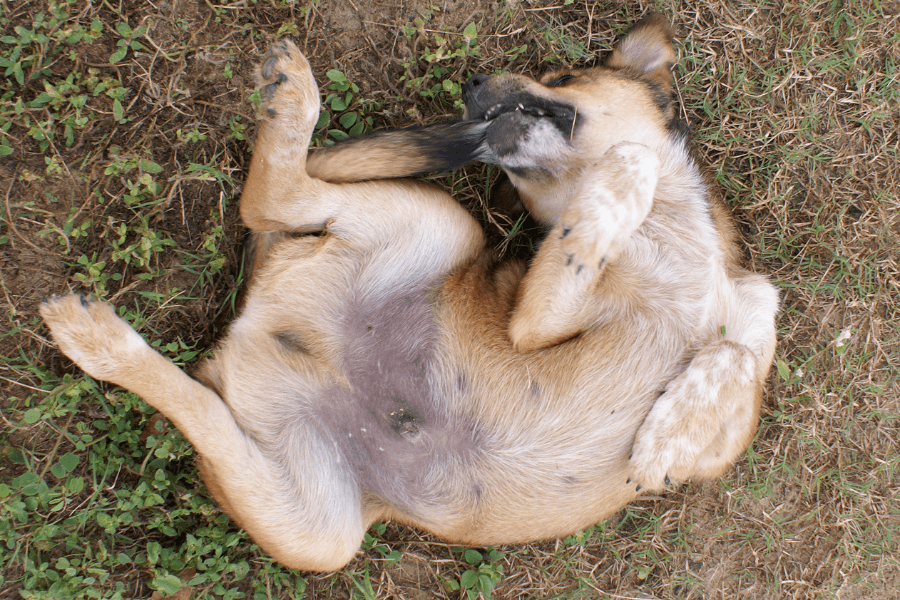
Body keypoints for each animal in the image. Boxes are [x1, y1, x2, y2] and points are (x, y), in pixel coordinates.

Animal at [38, 15, 776, 572]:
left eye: (564, 77)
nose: (473, 82)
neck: (671, 240)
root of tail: (258, 324)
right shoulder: (532, 320)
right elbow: (604, 211)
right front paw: (628, 171)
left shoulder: (732, 415)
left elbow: (735, 353)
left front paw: (668, 439)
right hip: (439, 223)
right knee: (271, 200)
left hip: (316, 526)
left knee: (206, 407)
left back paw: (99, 341)